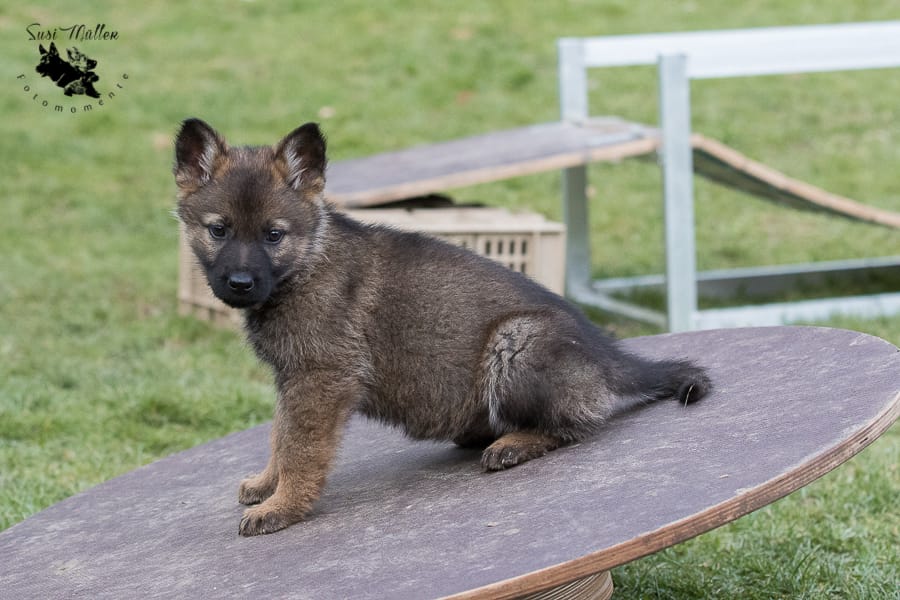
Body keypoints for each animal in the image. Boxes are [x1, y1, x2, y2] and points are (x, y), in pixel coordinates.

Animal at [174, 119, 712, 536]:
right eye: (218, 230)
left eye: (273, 235)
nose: (240, 283)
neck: (305, 266)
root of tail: (607, 355)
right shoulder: (294, 381)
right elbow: (281, 437)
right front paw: (268, 484)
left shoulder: (321, 379)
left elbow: (302, 449)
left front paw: (283, 507)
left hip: (513, 344)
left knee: (580, 421)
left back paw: (514, 444)